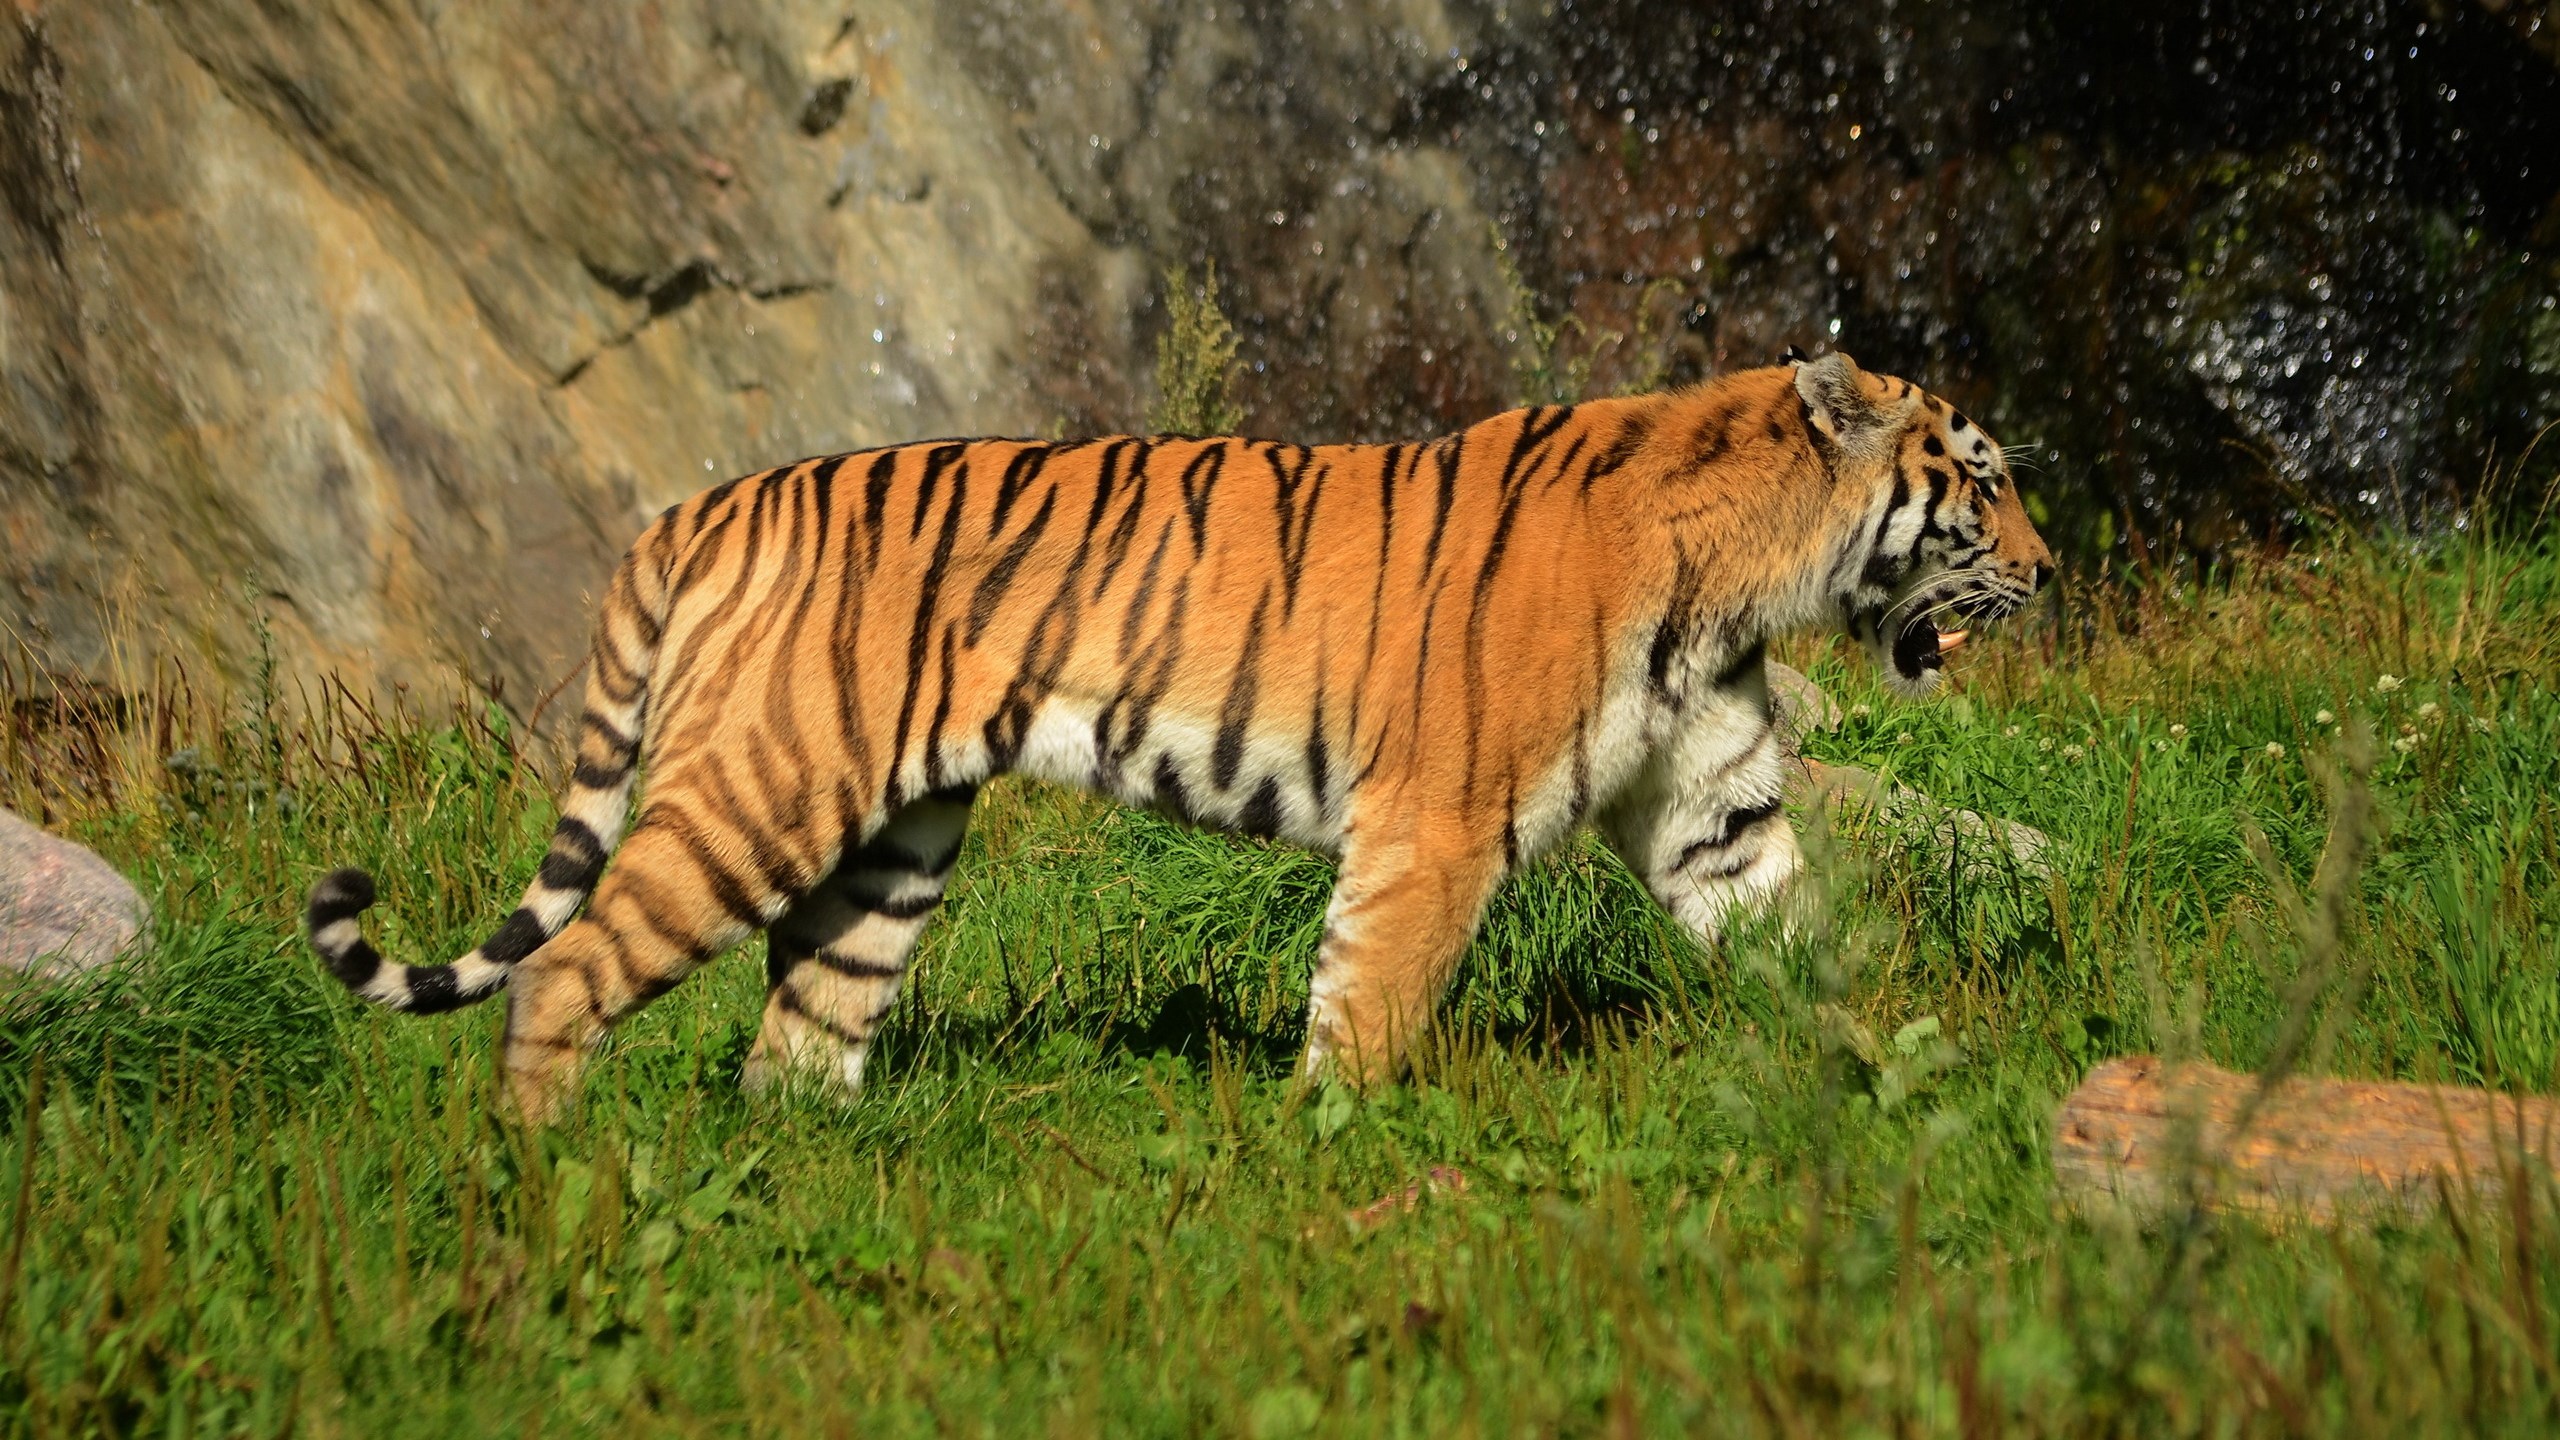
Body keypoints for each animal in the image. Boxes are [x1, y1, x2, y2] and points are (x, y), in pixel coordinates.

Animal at [304, 350, 2053, 1119]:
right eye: (1983, 476)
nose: (2051, 569)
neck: (1745, 574)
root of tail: (700, 506)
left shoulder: (1717, 811)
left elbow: (1812, 942)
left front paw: (1920, 1090)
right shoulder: (1438, 824)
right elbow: (1372, 1005)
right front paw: (1335, 1156)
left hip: (891, 852)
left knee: (798, 1036)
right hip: (762, 794)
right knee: (565, 977)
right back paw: (555, 1188)